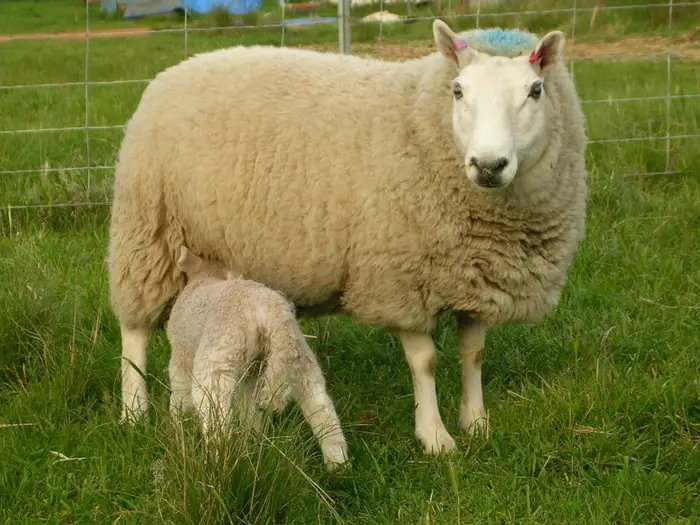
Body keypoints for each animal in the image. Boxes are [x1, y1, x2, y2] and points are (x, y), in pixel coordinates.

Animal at [165, 246, 350, 470]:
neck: (207, 277)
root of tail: (271, 312)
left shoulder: (181, 355)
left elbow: (180, 395)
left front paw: (176, 423)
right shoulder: (249, 375)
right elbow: (248, 408)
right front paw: (251, 435)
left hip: (217, 361)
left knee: (215, 419)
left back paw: (215, 464)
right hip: (296, 358)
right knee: (321, 408)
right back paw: (338, 464)